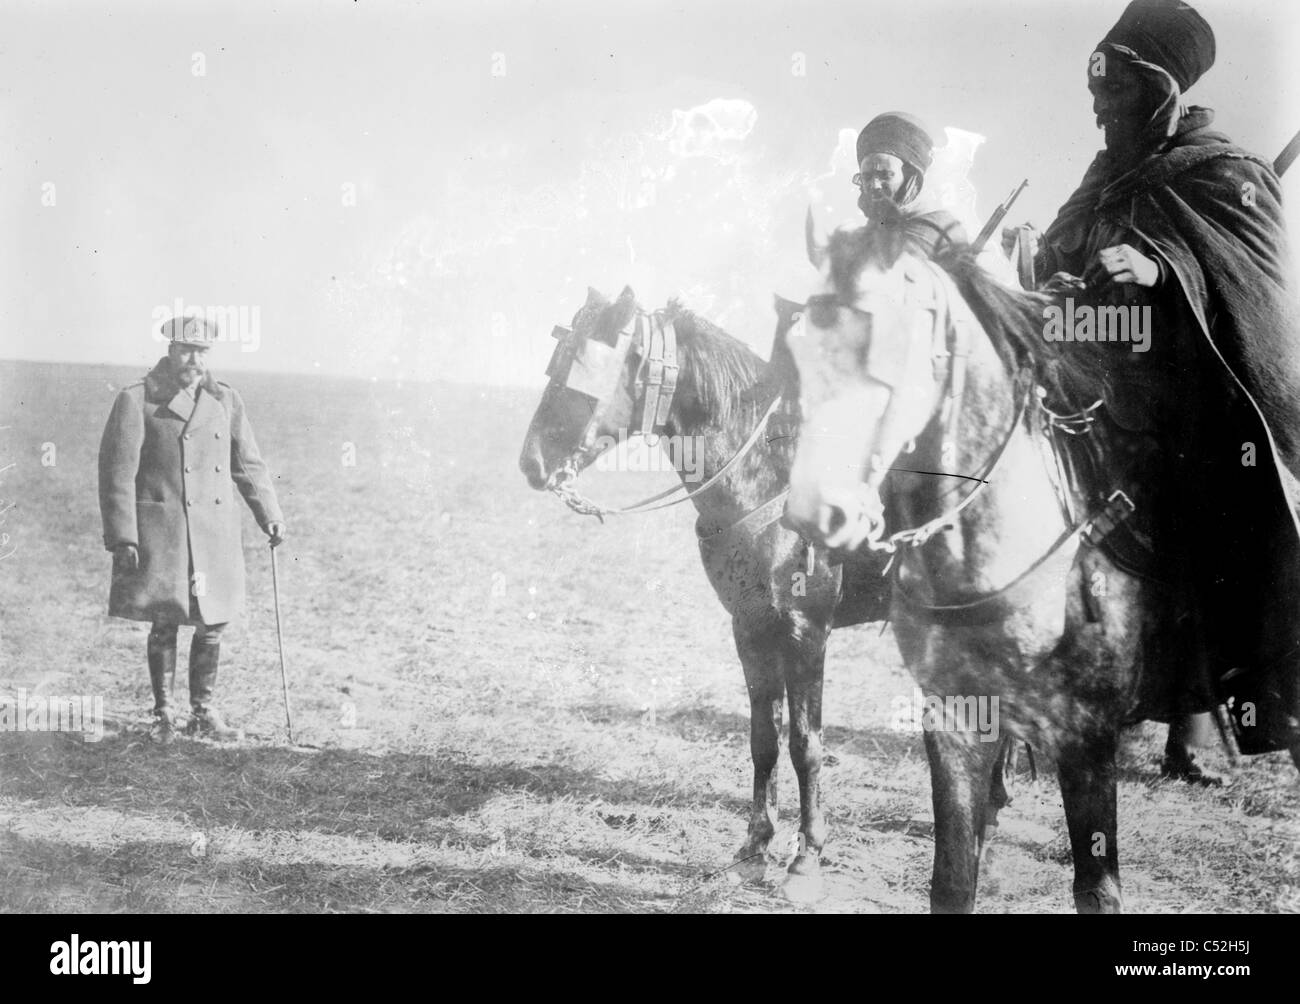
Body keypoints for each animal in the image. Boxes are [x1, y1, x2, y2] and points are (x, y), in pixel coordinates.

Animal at [517, 286, 894, 899]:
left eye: (583, 372)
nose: (531, 463)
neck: (772, 471)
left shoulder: (806, 631)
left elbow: (806, 744)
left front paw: (807, 858)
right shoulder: (750, 626)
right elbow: (764, 738)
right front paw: (755, 849)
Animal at [769, 223, 1159, 915]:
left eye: (885, 345)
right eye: (799, 348)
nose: (817, 512)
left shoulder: (1088, 737)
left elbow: (1098, 888)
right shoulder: (954, 720)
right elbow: (953, 880)